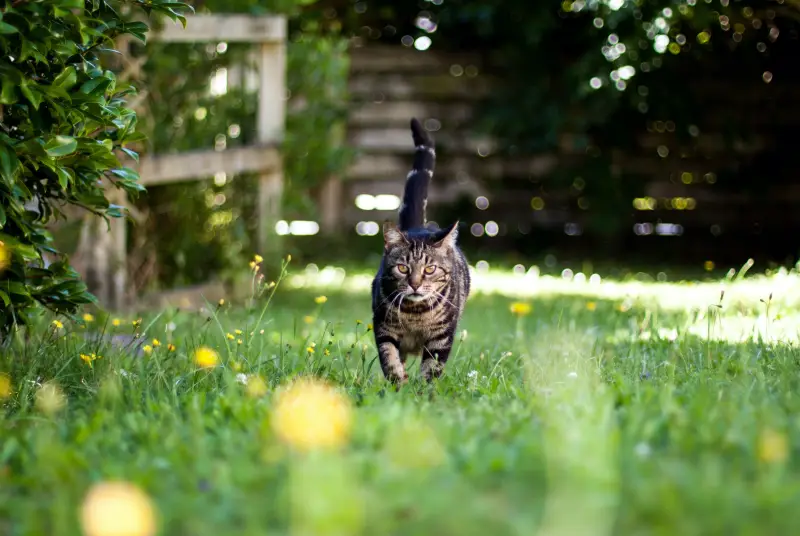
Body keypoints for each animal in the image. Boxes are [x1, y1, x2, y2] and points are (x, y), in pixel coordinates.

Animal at [372, 118, 472, 386]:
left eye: (430, 269)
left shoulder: (441, 338)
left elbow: (431, 369)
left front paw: (423, 392)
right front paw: (397, 384)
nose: (415, 284)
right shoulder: (383, 329)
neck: (415, 314)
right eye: (402, 268)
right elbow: (389, 358)